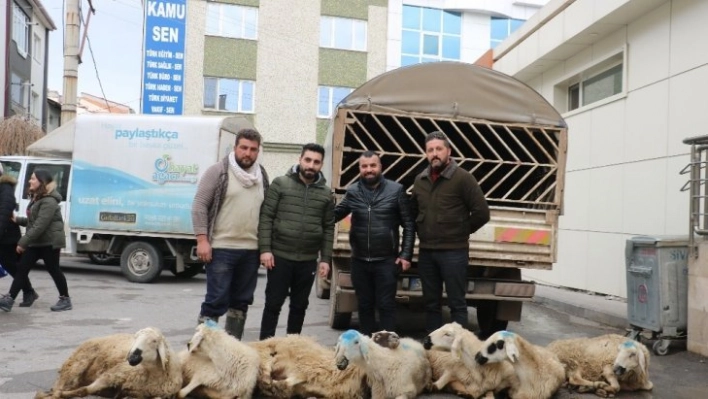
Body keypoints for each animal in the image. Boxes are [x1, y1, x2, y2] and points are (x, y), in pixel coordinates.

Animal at [34, 328, 183, 399]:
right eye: (135, 338)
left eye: (153, 341)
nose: (131, 357)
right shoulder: (113, 374)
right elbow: (85, 390)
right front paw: (60, 395)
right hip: (76, 364)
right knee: (58, 387)